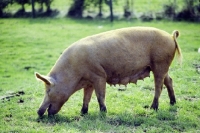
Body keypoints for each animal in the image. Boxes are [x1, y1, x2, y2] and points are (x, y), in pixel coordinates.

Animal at [35, 26, 182, 116]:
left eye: (48, 90)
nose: (38, 111)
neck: (75, 74)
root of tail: (171, 36)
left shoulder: (99, 75)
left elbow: (100, 95)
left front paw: (103, 112)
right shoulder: (89, 82)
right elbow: (86, 97)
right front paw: (83, 113)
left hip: (160, 63)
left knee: (159, 86)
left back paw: (153, 108)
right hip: (160, 66)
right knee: (169, 80)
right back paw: (173, 103)